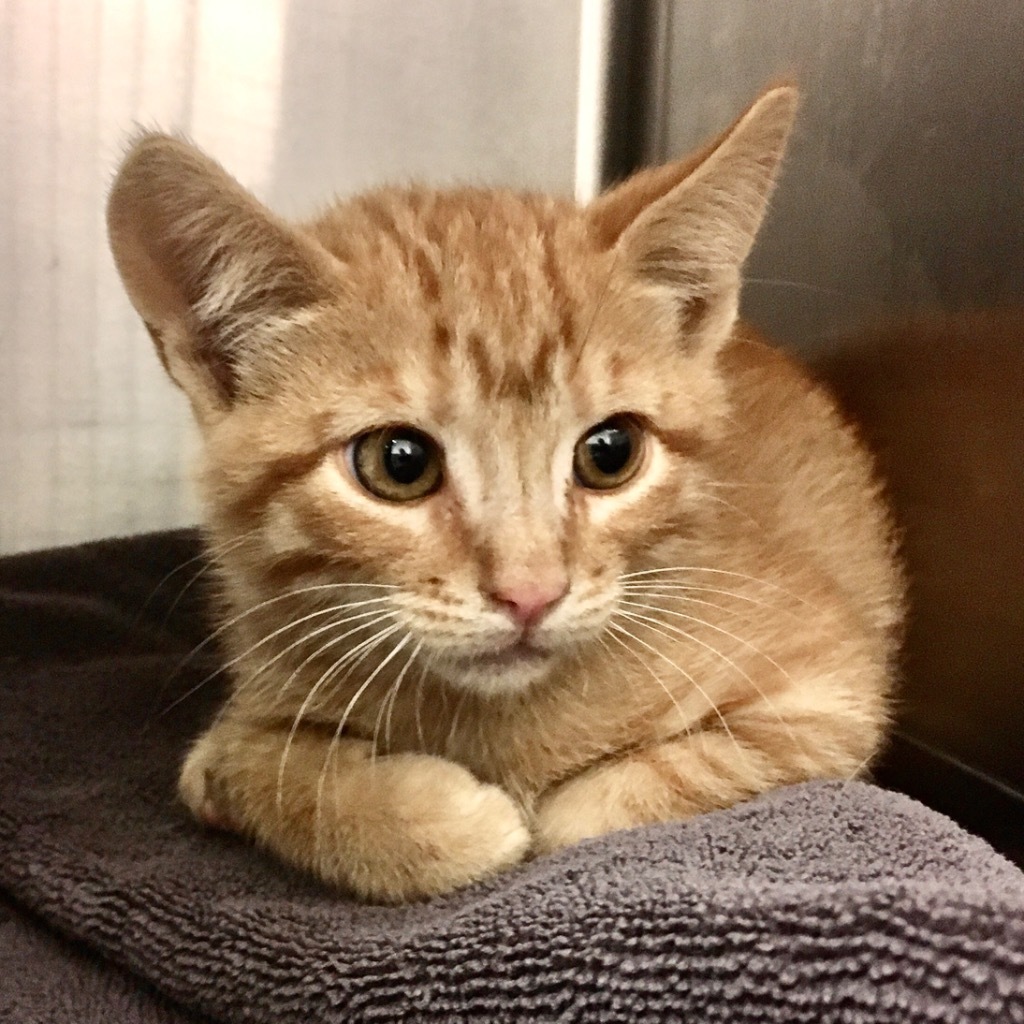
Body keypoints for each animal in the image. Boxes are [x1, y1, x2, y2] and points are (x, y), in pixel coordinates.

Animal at [105, 90, 905, 905]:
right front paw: (428, 821)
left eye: (611, 453)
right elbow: (246, 764)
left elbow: (589, 815)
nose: (531, 594)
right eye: (398, 464)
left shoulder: (832, 697)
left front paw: (529, 817)